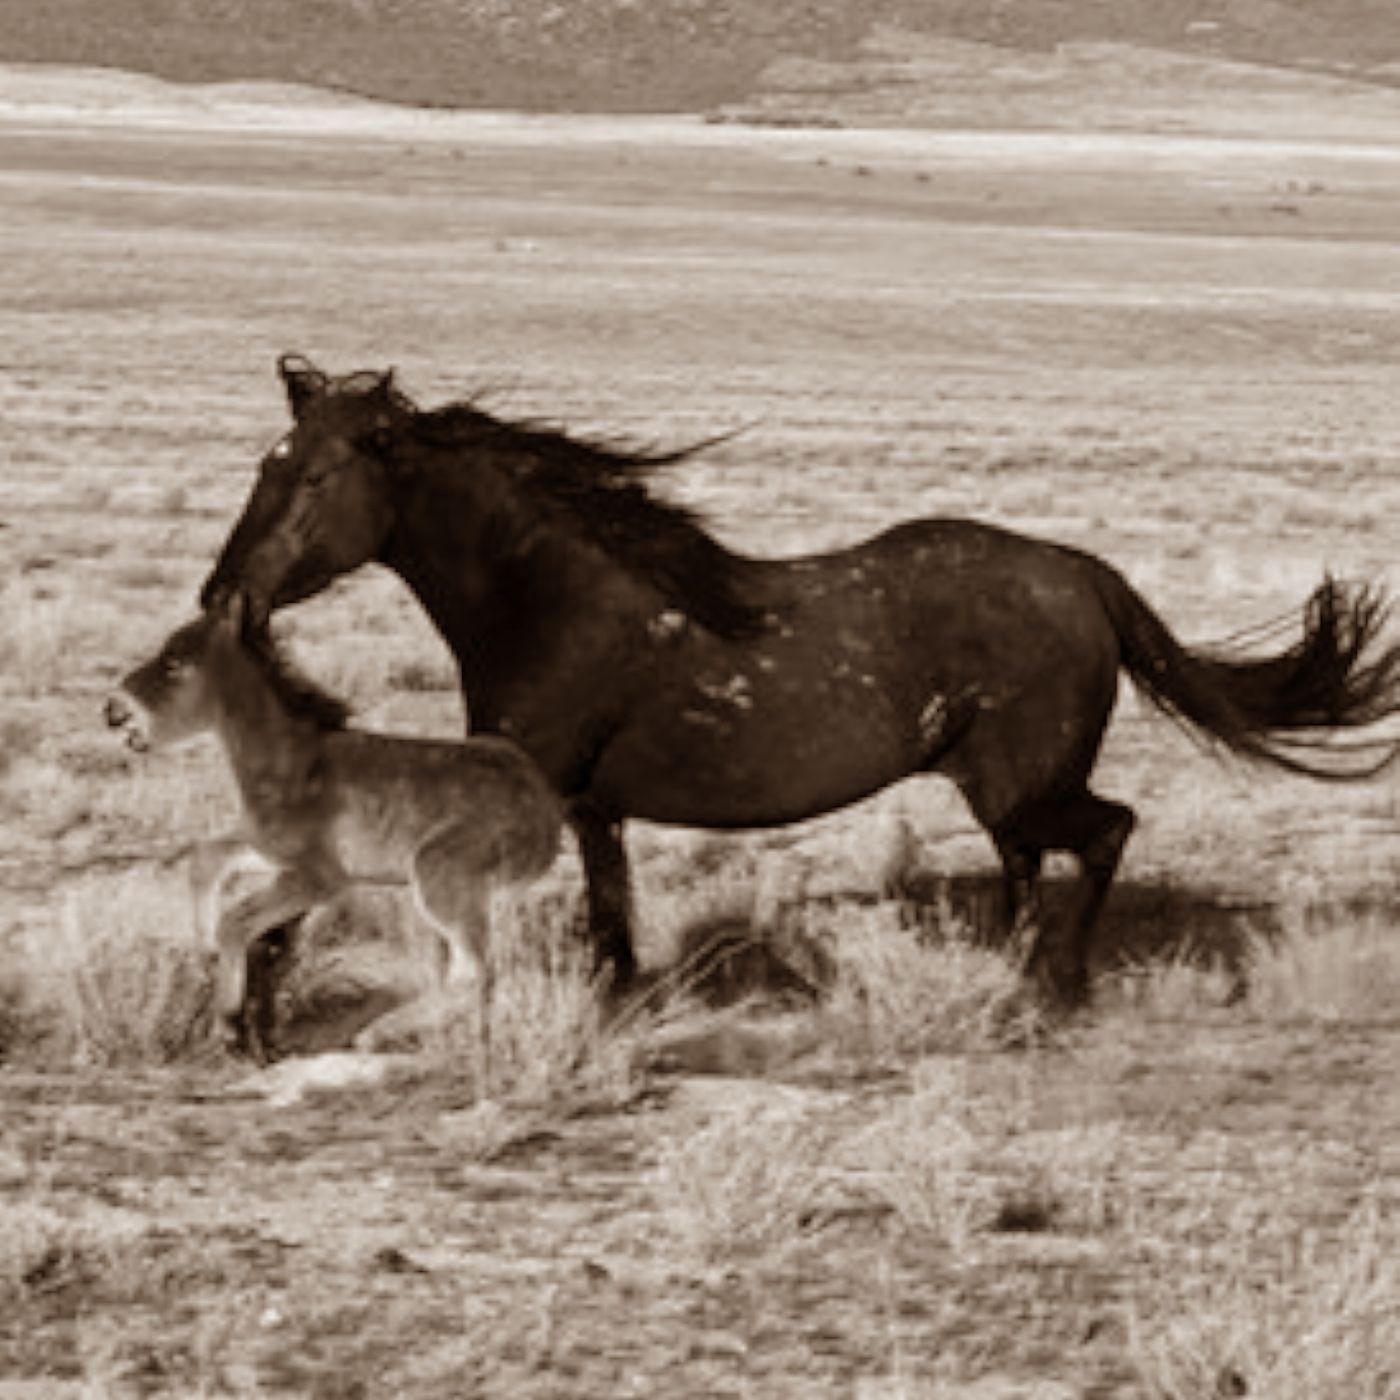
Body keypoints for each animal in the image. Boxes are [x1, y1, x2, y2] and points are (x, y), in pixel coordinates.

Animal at [105, 591, 563, 1061]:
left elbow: (237, 919)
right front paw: (204, 948)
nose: (112, 710)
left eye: (175, 664)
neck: (293, 764)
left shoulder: (323, 877)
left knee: (478, 972)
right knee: (468, 972)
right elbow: (207, 859)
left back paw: (373, 1033)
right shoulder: (268, 846)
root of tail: (546, 813)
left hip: (439, 871)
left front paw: (229, 1026)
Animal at [198, 354, 1400, 1009]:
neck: (555, 603)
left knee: (1102, 833)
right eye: (265, 465)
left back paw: (1055, 985)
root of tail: (1082, 576)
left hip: (1027, 780)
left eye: (316, 476)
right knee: (1030, 859)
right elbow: (609, 923)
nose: (224, 598)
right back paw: (1013, 970)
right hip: (999, 787)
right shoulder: (592, 809)